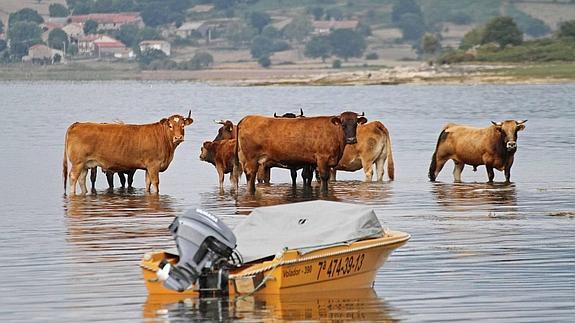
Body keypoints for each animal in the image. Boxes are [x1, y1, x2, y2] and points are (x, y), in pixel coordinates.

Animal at [63, 112, 194, 195]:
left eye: (183, 125)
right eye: (170, 126)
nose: (178, 137)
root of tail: (78, 124)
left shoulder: (148, 167)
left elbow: (148, 183)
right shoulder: (153, 165)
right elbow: (155, 184)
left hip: (85, 164)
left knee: (82, 179)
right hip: (78, 162)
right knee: (73, 177)